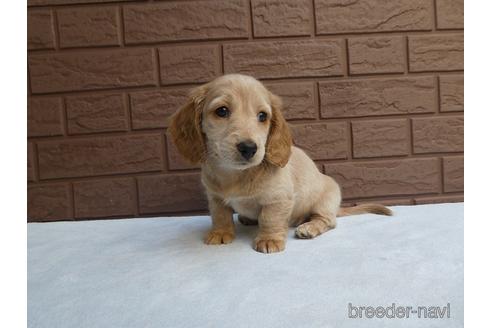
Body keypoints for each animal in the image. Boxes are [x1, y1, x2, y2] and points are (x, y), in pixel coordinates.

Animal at [169, 74, 392, 254]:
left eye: (262, 116)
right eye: (221, 111)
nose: (249, 148)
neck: (236, 175)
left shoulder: (279, 198)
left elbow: (270, 218)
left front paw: (269, 240)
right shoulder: (215, 197)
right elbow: (220, 215)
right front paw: (220, 233)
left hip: (326, 199)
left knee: (327, 220)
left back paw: (308, 227)